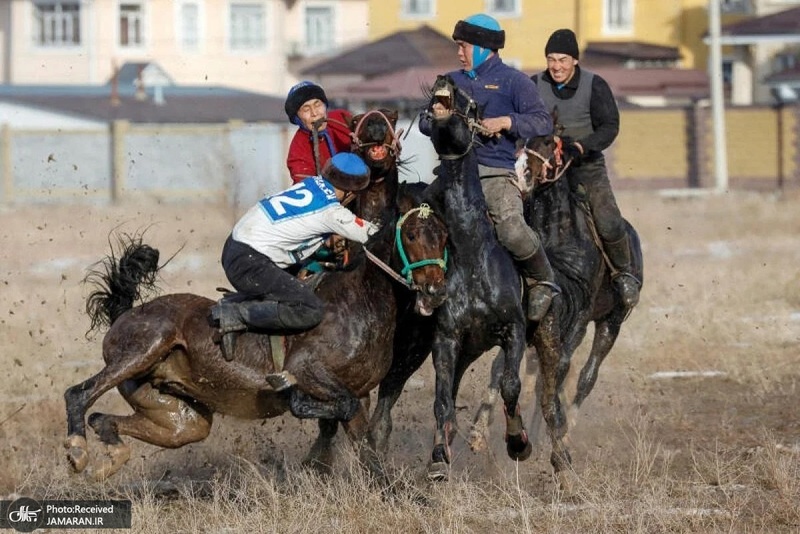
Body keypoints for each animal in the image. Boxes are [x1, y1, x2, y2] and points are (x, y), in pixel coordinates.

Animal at [62, 108, 450, 482]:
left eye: (445, 235)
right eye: (412, 236)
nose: (435, 291)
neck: (361, 295)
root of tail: (125, 313)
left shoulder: (361, 392)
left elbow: (364, 443)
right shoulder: (309, 368)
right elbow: (328, 407)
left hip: (180, 417)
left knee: (108, 419)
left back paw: (109, 456)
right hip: (145, 346)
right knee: (78, 394)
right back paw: (78, 449)